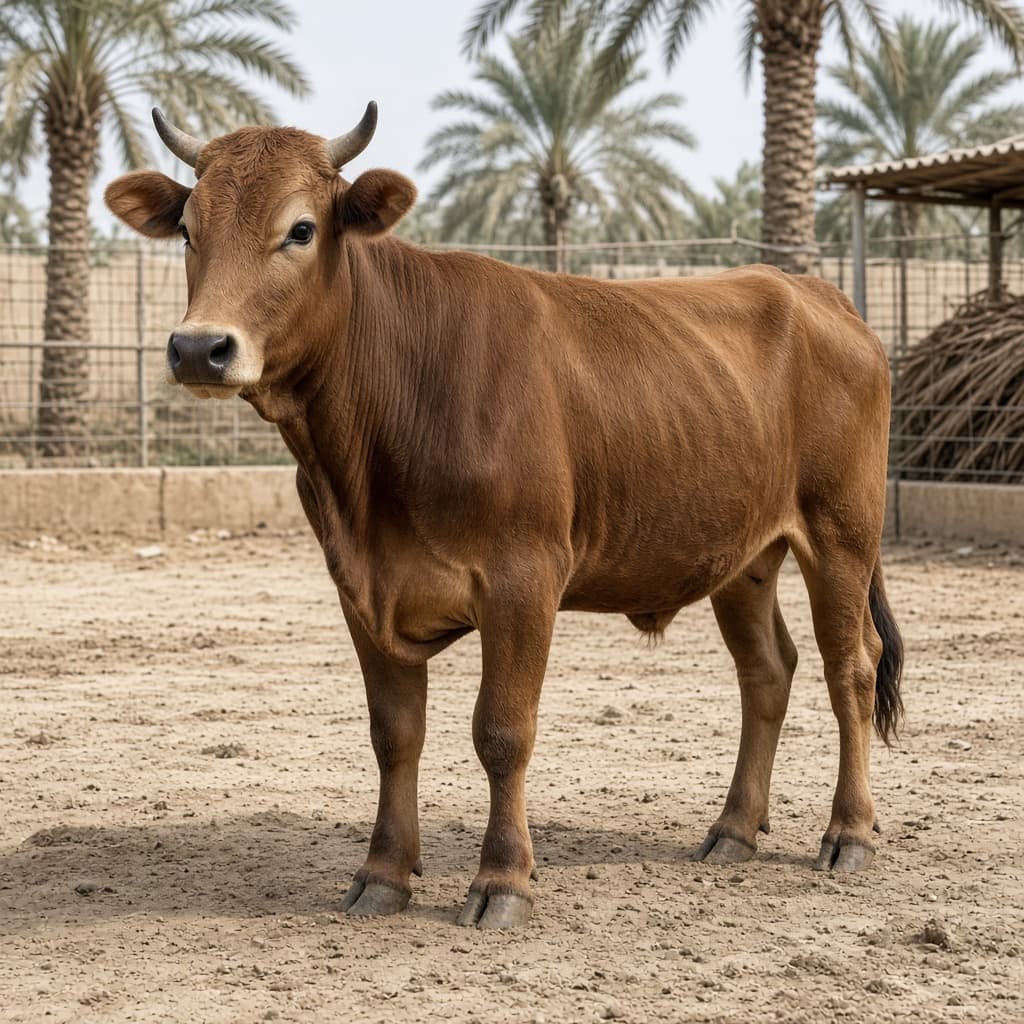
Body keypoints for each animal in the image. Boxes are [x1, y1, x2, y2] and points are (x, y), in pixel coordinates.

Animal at [105, 102, 904, 929]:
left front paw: (502, 879)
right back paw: (733, 829)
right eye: (188, 228)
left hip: (842, 534)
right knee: (767, 671)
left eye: (300, 229)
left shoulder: (525, 581)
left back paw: (848, 832)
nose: (199, 347)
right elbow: (394, 734)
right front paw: (383, 872)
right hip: (744, 557)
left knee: (850, 667)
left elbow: (502, 731)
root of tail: (816, 293)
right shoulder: (360, 589)